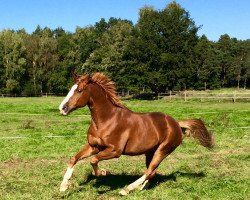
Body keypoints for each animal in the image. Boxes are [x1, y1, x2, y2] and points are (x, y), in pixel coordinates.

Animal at [58, 72, 213, 195]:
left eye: (79, 90)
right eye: (70, 89)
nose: (62, 108)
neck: (107, 120)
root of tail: (176, 123)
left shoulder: (115, 151)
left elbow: (93, 160)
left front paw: (103, 172)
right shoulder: (94, 146)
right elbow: (74, 159)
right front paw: (64, 186)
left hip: (163, 150)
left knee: (149, 171)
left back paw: (126, 189)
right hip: (150, 152)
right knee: (152, 172)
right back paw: (141, 188)